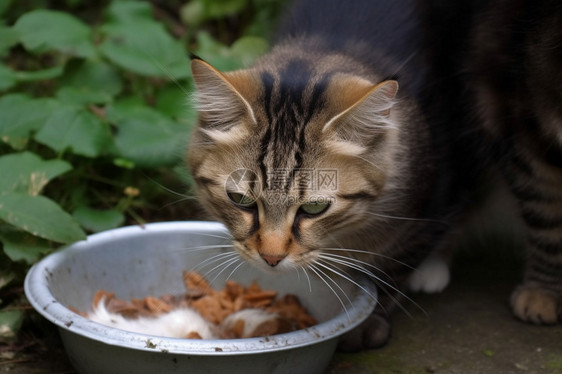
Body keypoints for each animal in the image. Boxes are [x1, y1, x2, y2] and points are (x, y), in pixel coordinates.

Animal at [185, 0, 560, 350]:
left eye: (314, 208)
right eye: (241, 200)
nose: (272, 258)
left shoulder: (440, 180)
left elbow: (395, 263)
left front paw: (369, 321)